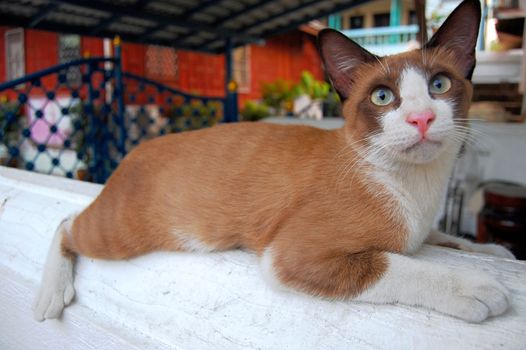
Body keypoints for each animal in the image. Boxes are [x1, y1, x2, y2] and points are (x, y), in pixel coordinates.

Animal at [33, 0, 516, 324]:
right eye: (382, 96)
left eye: (439, 85)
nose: (421, 118)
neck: (414, 185)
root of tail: (138, 147)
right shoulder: (293, 254)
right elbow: (397, 265)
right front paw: (469, 287)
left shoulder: (422, 225)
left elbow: (439, 238)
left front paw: (486, 248)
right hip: (122, 232)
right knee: (67, 223)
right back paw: (50, 293)